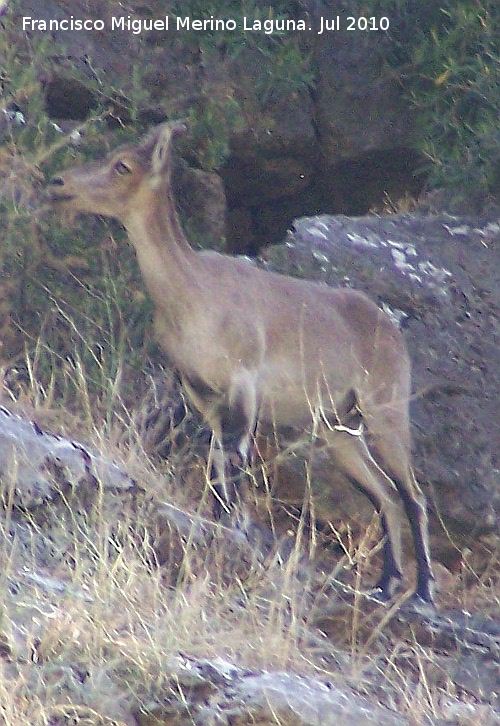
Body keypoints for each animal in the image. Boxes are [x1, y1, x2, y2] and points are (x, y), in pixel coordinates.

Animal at [48, 121, 436, 608]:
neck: (192, 293)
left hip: (385, 410)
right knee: (384, 494)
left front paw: (239, 530)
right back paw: (385, 584)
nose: (59, 183)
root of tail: (391, 330)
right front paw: (221, 525)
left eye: (123, 165)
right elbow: (217, 464)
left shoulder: (243, 383)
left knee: (413, 494)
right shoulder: (202, 392)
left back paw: (424, 590)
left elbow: (237, 461)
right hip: (339, 429)